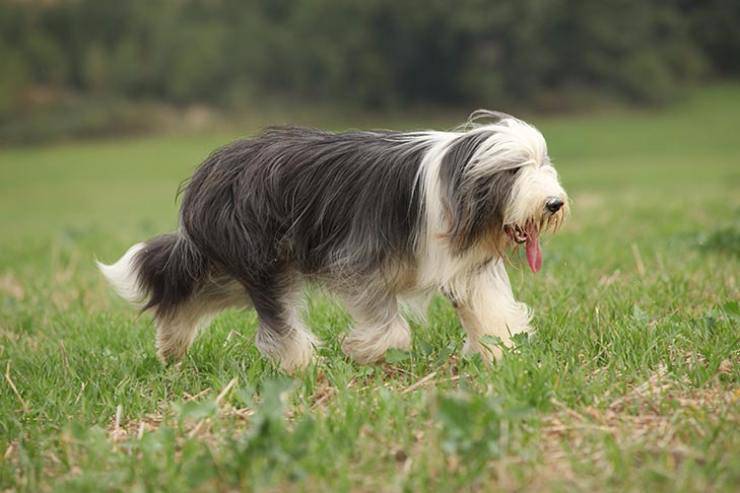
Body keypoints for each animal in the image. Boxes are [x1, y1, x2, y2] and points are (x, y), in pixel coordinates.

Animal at [98, 111, 568, 368]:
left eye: (542, 163)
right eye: (514, 170)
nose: (554, 203)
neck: (455, 180)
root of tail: (209, 170)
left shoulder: (467, 267)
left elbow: (487, 310)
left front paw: (502, 353)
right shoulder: (359, 258)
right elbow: (385, 321)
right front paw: (372, 352)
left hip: (236, 268)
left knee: (190, 293)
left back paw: (171, 345)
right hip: (259, 259)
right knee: (278, 321)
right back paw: (301, 366)